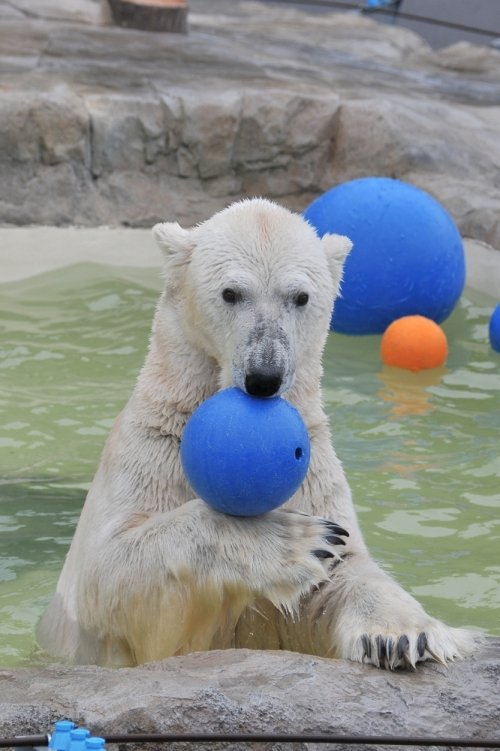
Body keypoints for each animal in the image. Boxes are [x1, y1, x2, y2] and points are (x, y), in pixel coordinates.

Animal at [36, 198, 476, 668]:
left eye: (300, 297)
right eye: (231, 293)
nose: (264, 377)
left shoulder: (313, 473)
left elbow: (342, 573)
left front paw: (404, 636)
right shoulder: (150, 453)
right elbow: (111, 570)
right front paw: (300, 540)